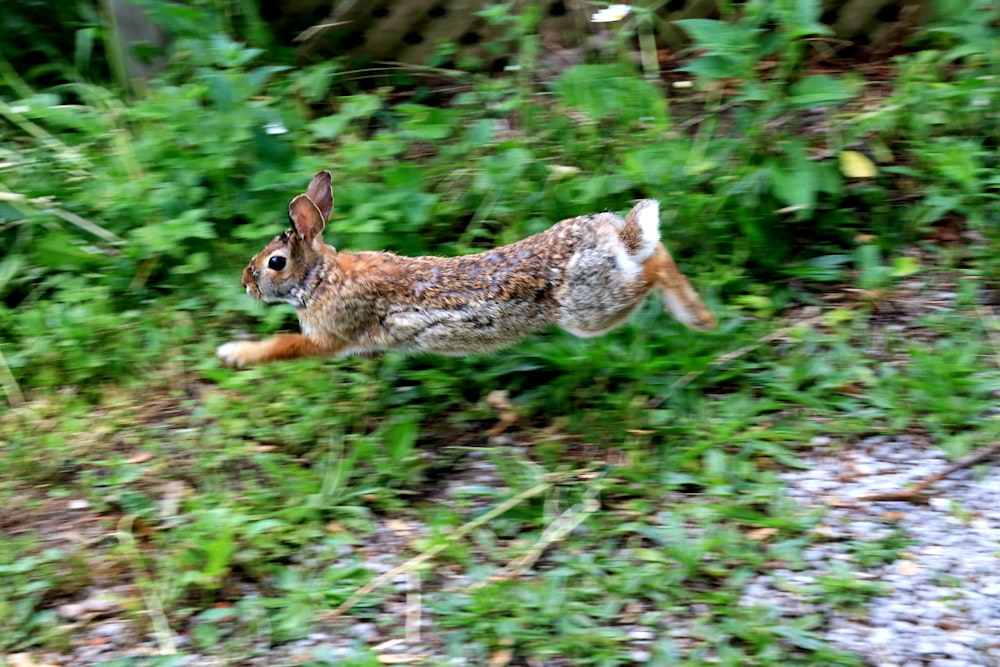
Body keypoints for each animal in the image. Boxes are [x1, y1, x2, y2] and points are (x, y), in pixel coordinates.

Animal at [217, 170, 720, 368]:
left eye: (275, 263)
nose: (244, 282)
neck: (322, 278)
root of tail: (615, 236)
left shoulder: (330, 335)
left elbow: (285, 346)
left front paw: (234, 354)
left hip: (588, 308)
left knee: (653, 266)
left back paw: (699, 319)